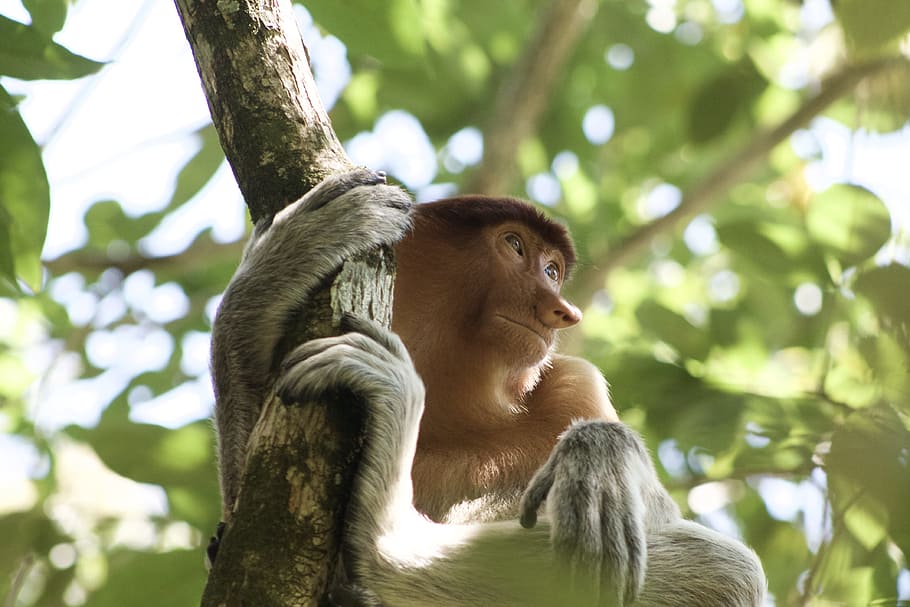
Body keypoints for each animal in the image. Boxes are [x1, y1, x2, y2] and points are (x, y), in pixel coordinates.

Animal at [210, 168, 767, 606]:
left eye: (553, 270)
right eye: (514, 245)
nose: (561, 311)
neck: (461, 413)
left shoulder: (574, 384)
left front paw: (598, 454)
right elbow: (247, 548)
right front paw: (274, 269)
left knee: (724, 569)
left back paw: (387, 541)